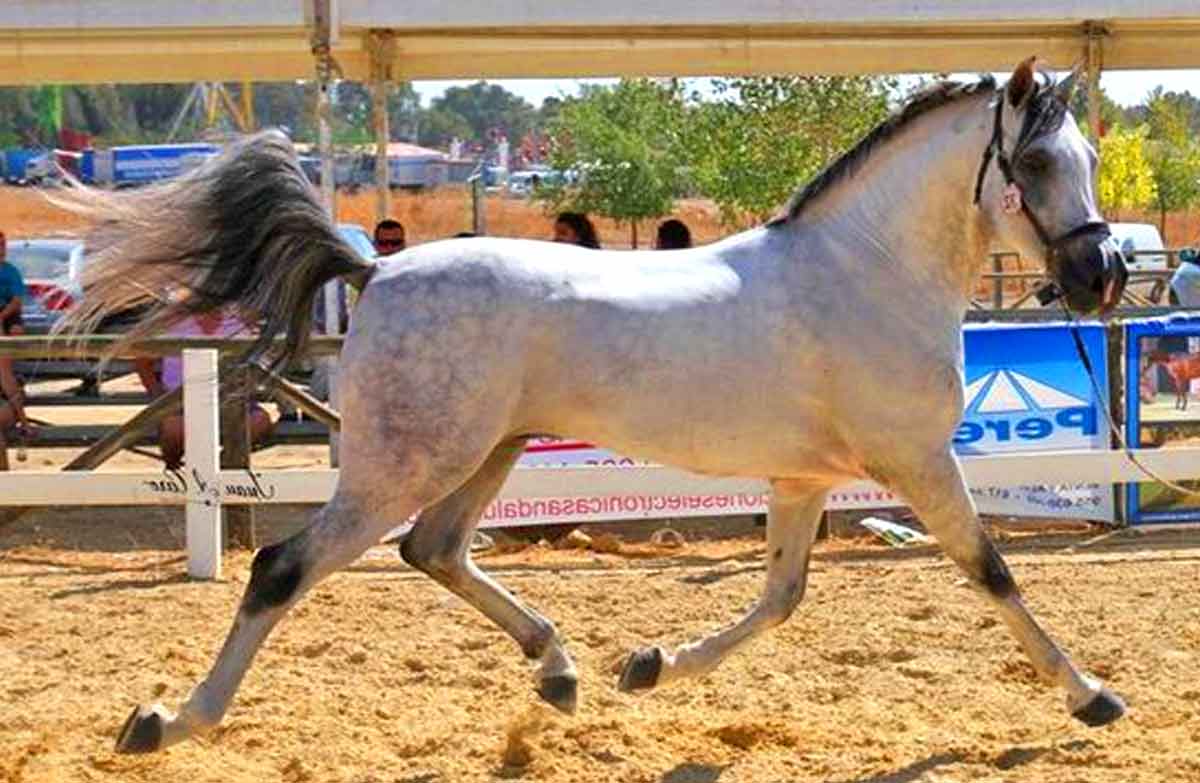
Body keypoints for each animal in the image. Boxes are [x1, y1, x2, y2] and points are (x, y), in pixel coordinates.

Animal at [57, 57, 1129, 754]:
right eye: (1036, 165)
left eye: (1086, 158)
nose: (1103, 275)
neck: (865, 271)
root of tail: (377, 269)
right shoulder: (916, 461)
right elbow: (992, 574)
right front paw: (1091, 696)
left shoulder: (801, 478)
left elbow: (780, 597)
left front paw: (647, 664)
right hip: (402, 463)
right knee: (285, 567)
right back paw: (169, 719)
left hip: (485, 453)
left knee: (433, 550)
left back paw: (560, 666)